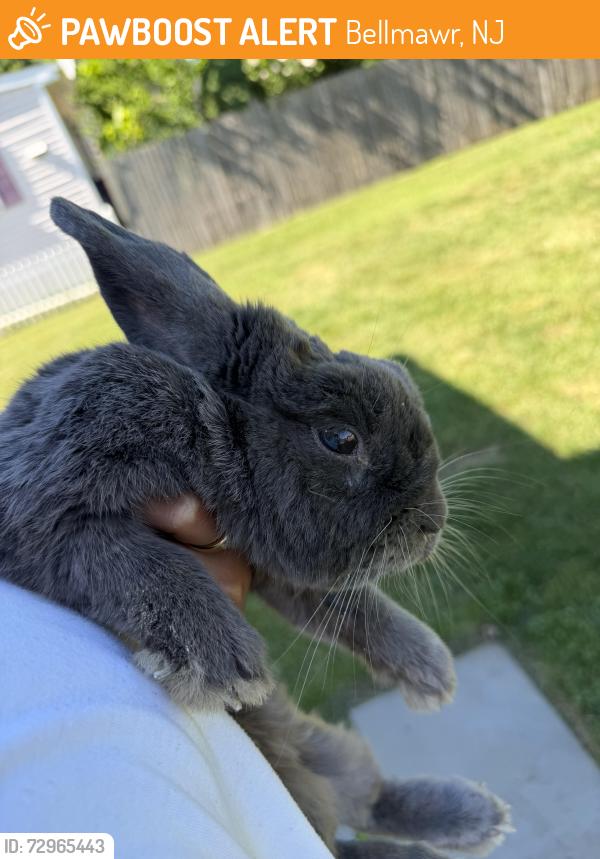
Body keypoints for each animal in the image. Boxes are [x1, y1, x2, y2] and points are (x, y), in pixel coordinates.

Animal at [0, 198, 512, 858]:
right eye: (340, 438)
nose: (434, 524)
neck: (209, 426)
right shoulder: (42, 507)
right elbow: (127, 560)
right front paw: (222, 662)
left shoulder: (271, 564)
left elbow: (357, 609)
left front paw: (431, 671)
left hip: (332, 753)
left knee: (370, 800)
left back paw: (477, 815)